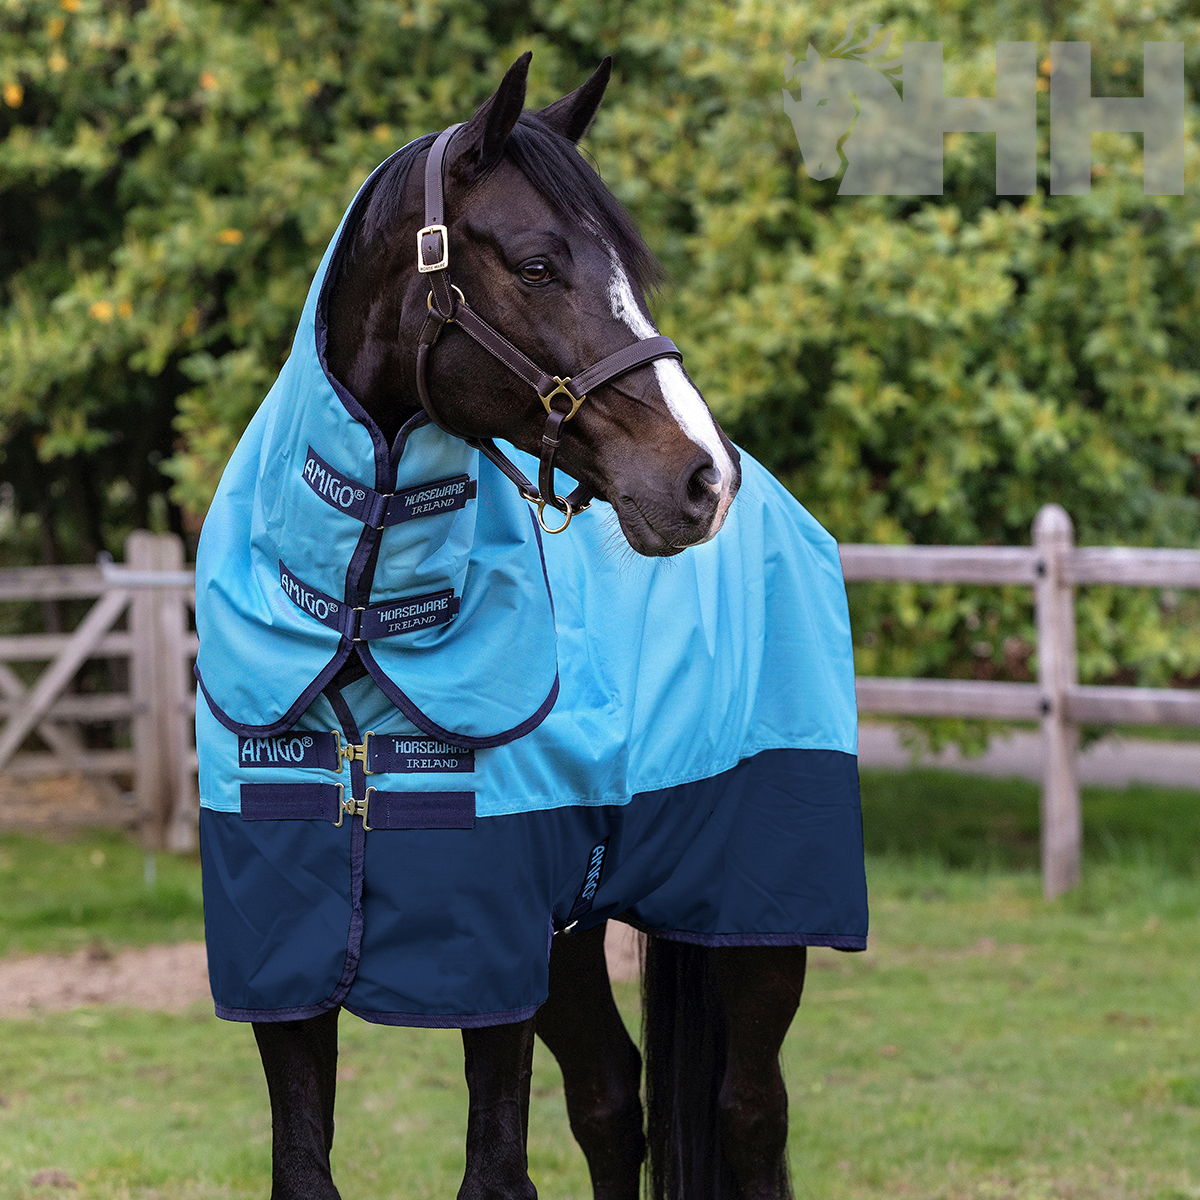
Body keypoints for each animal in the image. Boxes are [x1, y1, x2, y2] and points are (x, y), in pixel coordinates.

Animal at [193, 53, 866, 1200]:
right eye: (542, 264)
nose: (702, 478)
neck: (362, 615)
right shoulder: (287, 956)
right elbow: (306, 1166)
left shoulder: (492, 958)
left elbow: (495, 1173)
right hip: (573, 935)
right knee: (612, 1103)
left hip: (755, 924)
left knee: (749, 1116)